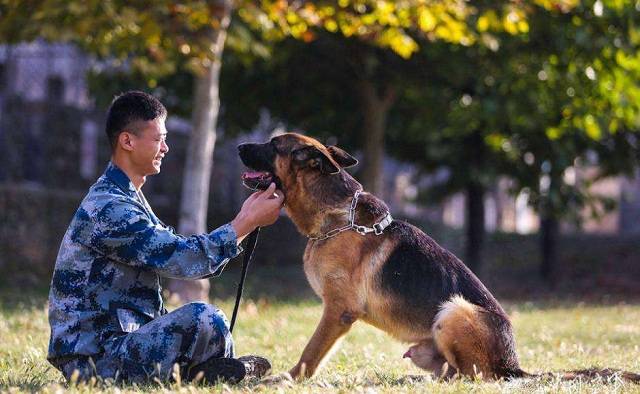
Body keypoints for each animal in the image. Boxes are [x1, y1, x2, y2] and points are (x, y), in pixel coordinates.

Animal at [239, 132, 640, 382]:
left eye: (273, 144)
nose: (240, 144)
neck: (337, 218)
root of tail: (513, 366)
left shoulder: (338, 311)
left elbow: (310, 353)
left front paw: (285, 380)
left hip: (454, 310)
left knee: (475, 377)